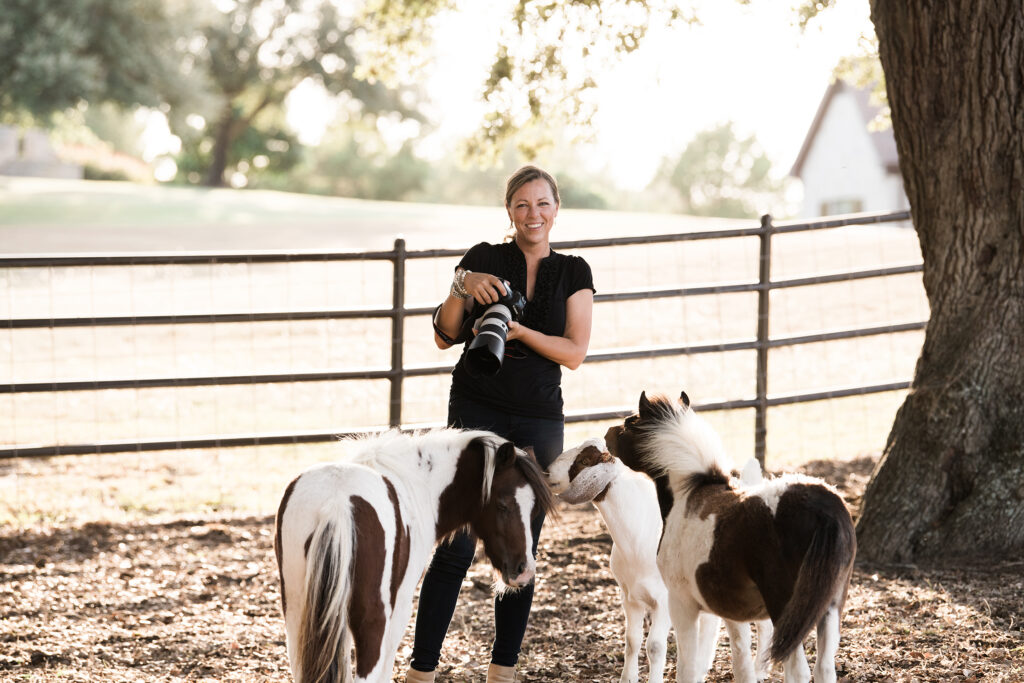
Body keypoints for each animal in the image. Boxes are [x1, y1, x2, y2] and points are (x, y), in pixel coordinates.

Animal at [272, 430, 552, 679]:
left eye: (535, 509)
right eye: (503, 504)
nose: (524, 570)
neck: (419, 486)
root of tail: (337, 503)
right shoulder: (400, 607)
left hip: (298, 616)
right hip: (371, 622)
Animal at [602, 393, 860, 683]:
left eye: (630, 423)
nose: (607, 434)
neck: (688, 493)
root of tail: (825, 509)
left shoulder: (680, 604)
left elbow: (687, 667)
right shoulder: (732, 609)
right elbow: (741, 662)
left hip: (789, 611)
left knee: (799, 671)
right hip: (829, 608)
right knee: (824, 668)